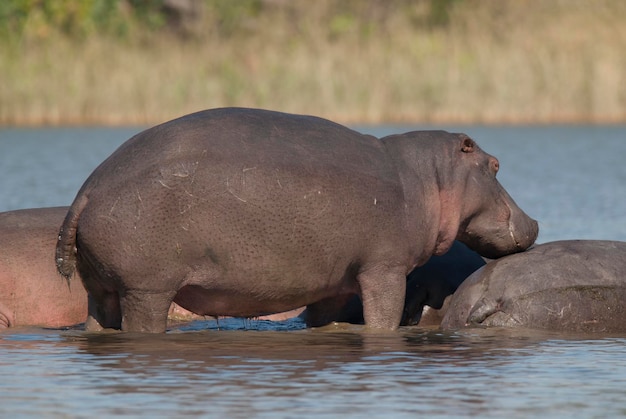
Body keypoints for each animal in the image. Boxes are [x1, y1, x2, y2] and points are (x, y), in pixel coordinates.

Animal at [56, 106, 540, 334]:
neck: (427, 177)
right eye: (495, 165)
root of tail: (87, 189)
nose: (535, 223)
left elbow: (323, 317)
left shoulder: (331, 282)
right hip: (147, 290)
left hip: (100, 289)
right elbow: (383, 315)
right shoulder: (384, 269)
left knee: (99, 319)